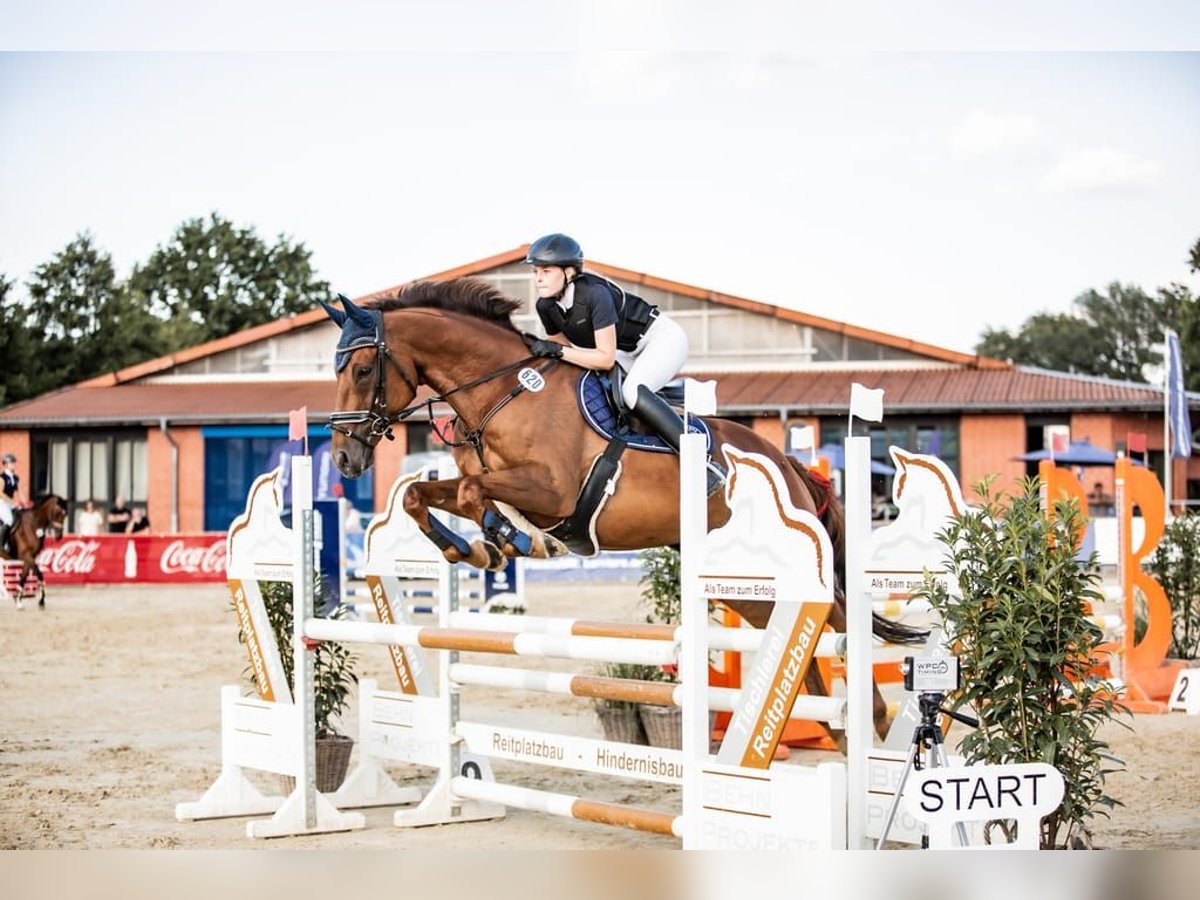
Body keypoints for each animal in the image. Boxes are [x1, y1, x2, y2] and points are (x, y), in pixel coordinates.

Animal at [321, 282, 926, 739]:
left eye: (360, 370)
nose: (346, 458)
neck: (503, 393)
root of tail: (790, 462)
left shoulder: (552, 491)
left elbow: (473, 494)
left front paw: (510, 541)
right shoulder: (498, 482)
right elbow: (423, 495)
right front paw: (471, 548)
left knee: (841, 622)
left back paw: (871, 726)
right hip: (746, 586)